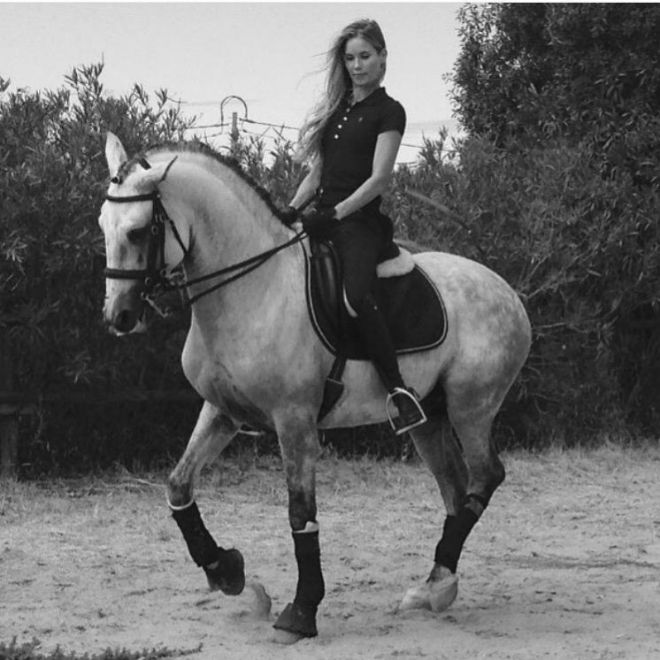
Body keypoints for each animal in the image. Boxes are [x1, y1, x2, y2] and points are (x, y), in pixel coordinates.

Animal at [98, 132, 531, 644]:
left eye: (138, 231)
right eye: (103, 225)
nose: (119, 317)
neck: (252, 289)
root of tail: (506, 291)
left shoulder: (295, 421)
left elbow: (299, 514)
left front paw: (301, 611)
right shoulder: (222, 411)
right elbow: (179, 487)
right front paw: (231, 576)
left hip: (472, 406)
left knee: (484, 477)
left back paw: (439, 584)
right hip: (429, 417)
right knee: (455, 486)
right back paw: (435, 587)